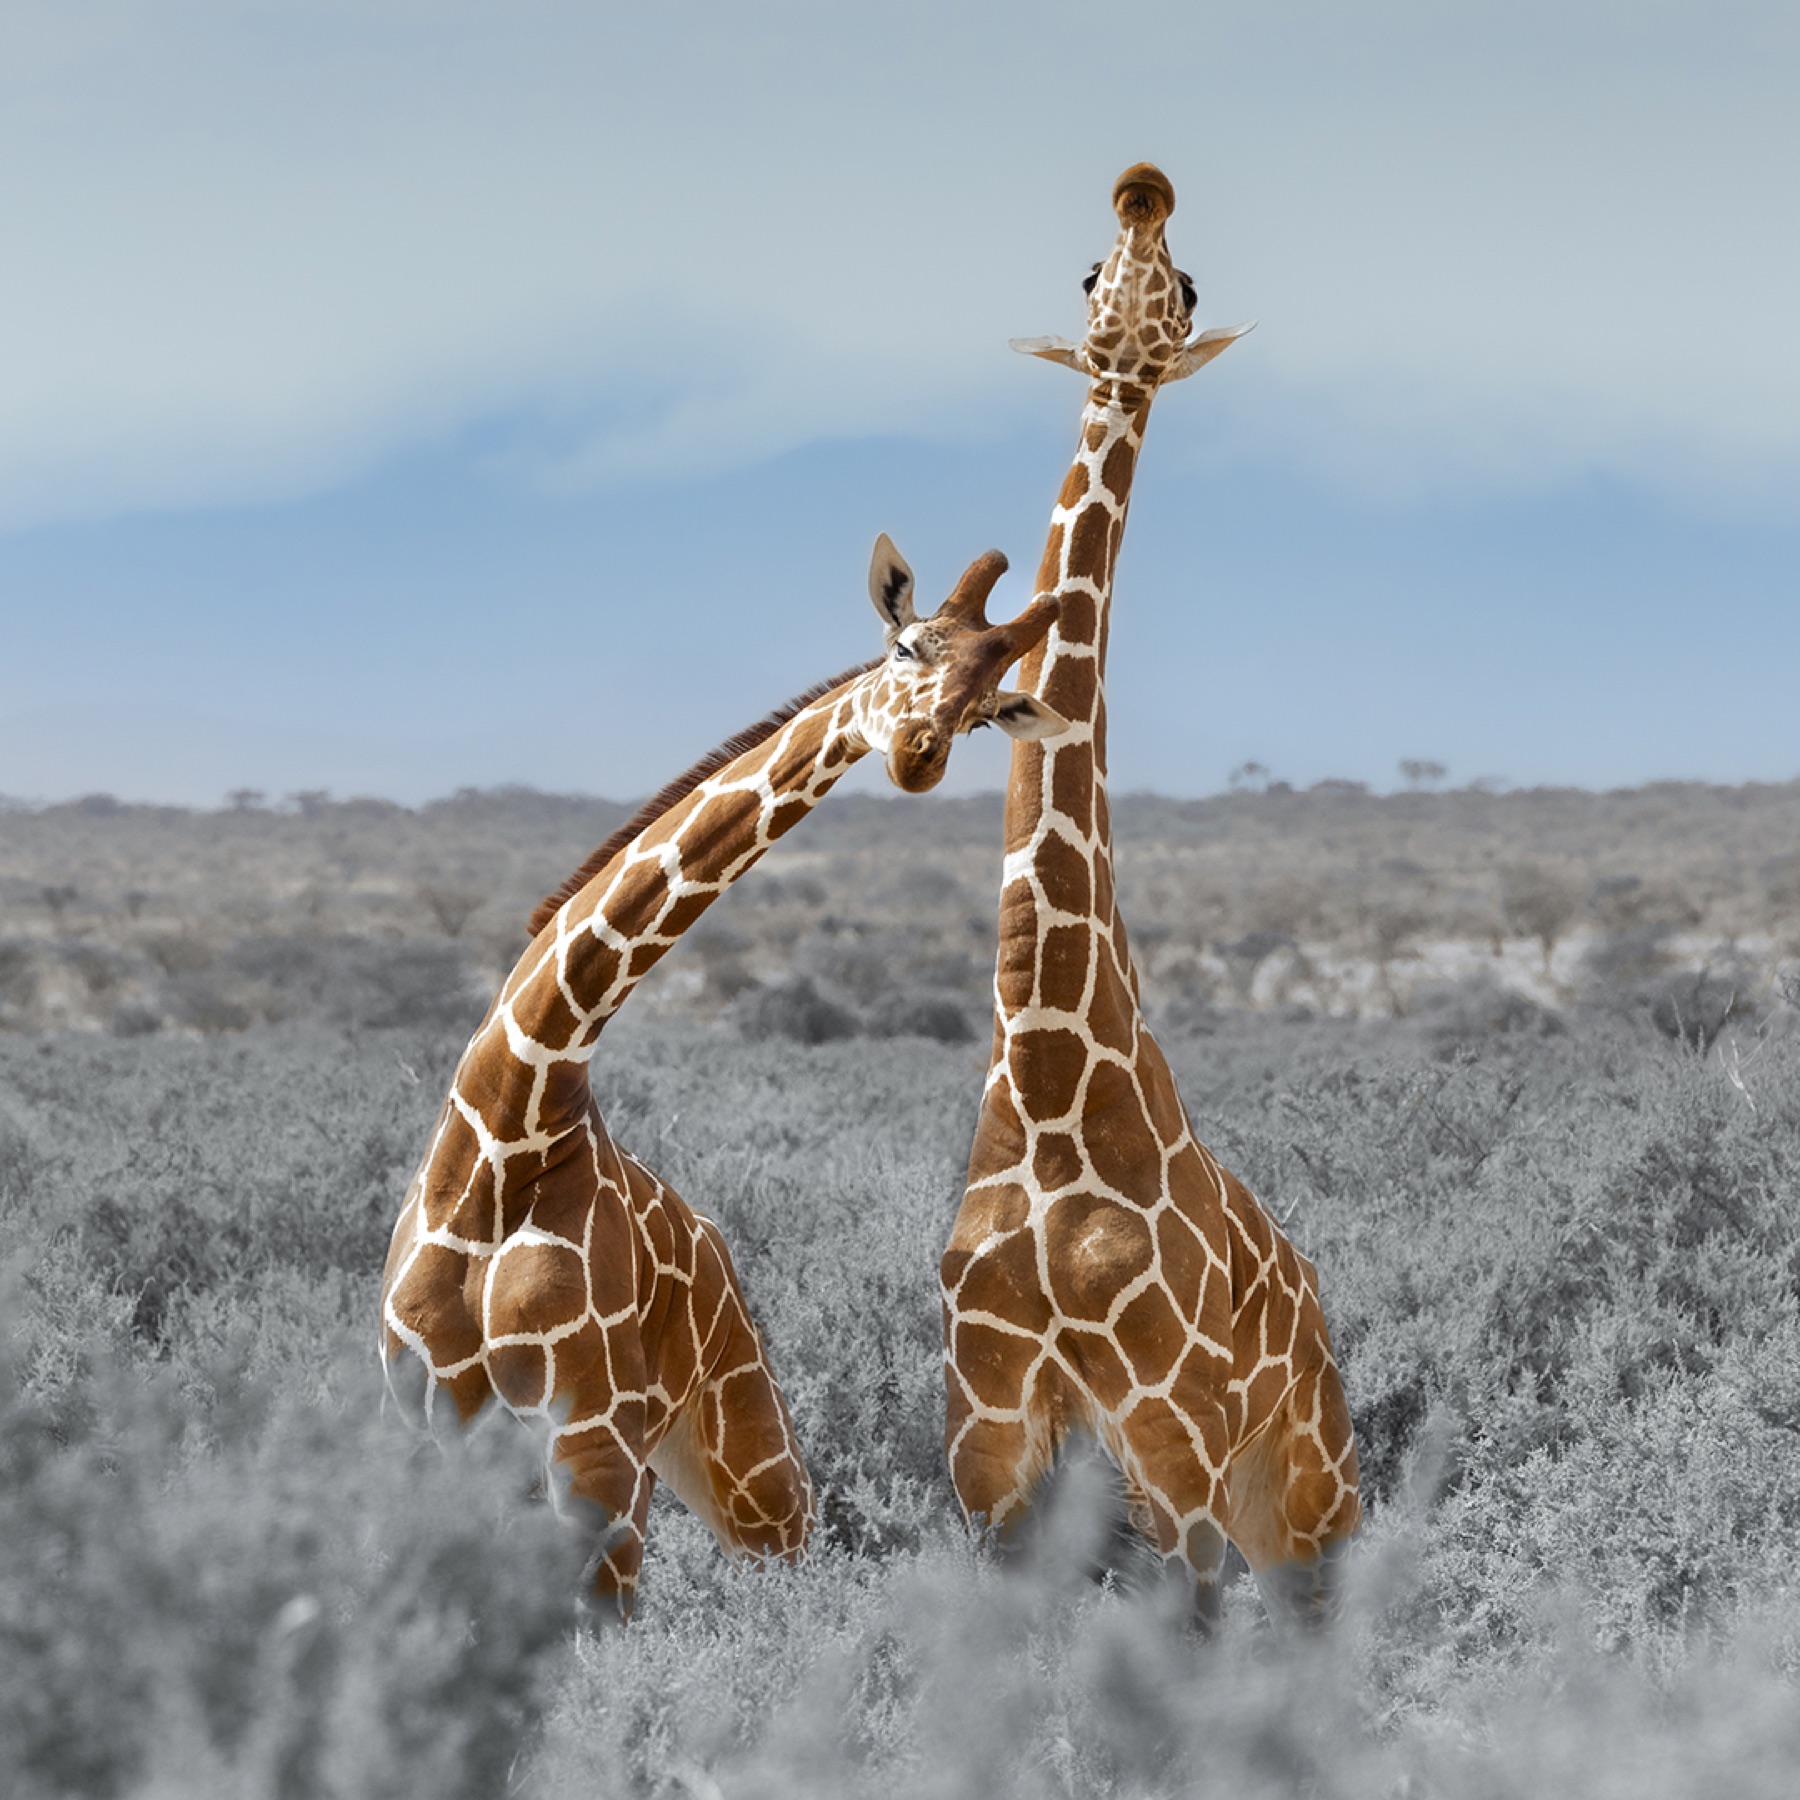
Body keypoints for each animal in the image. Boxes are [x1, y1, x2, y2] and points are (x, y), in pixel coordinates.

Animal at [381, 537, 1064, 1621]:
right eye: (909, 646)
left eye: (988, 709)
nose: (920, 750)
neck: (514, 1122)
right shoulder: (420, 1415)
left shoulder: (592, 1445)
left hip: (742, 1461)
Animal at [942, 165, 1361, 1628]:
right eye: (1089, 273)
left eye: (1186, 285)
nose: (1144, 190)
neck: (1049, 1081)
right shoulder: (989, 1458)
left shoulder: (1170, 1447)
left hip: (1304, 1487)